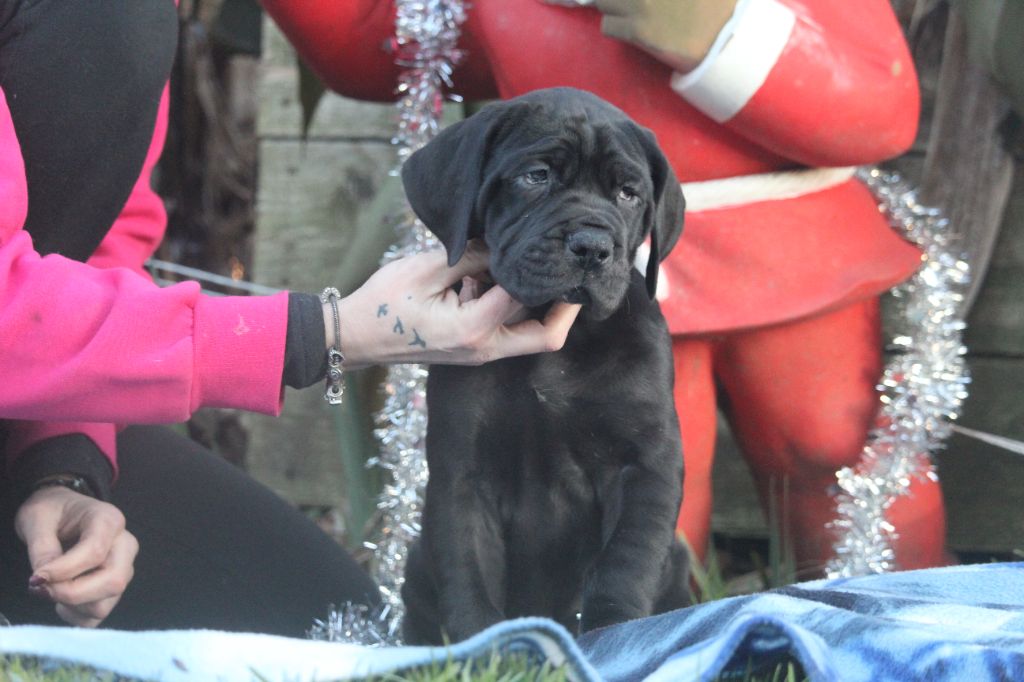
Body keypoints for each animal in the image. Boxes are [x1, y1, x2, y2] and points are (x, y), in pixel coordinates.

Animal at [399, 86, 688, 643]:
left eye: (628, 193)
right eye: (537, 176)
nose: (592, 247)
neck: (558, 345)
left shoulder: (645, 462)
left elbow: (627, 559)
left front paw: (614, 632)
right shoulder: (462, 471)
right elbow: (467, 568)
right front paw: (482, 644)